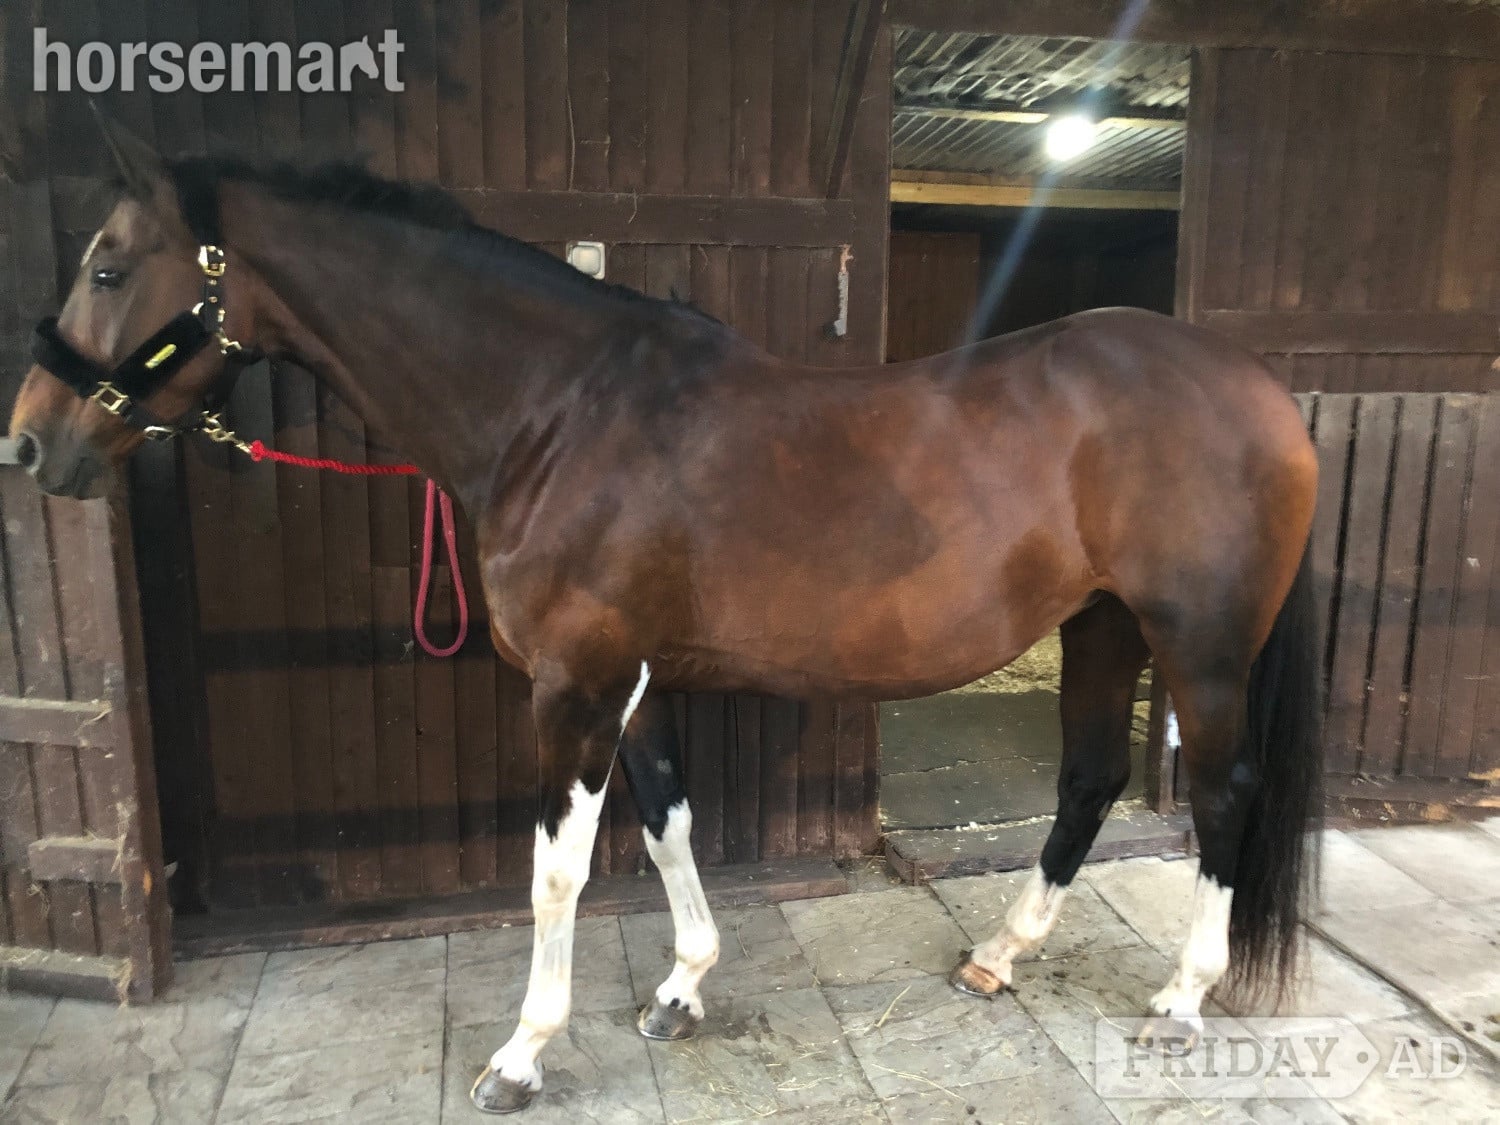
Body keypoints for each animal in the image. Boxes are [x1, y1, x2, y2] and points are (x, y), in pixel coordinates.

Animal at [10, 117, 1323, 1115]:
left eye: (109, 267)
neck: (559, 413)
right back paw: (998, 957)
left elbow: (557, 877)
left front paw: (522, 1055)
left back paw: (1181, 999)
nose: (30, 444)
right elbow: (668, 827)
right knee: (1090, 776)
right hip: (1100, 625)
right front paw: (684, 988)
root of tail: (1260, 386)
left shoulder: (575, 687)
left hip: (1199, 650)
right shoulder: (633, 683)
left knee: (1222, 797)